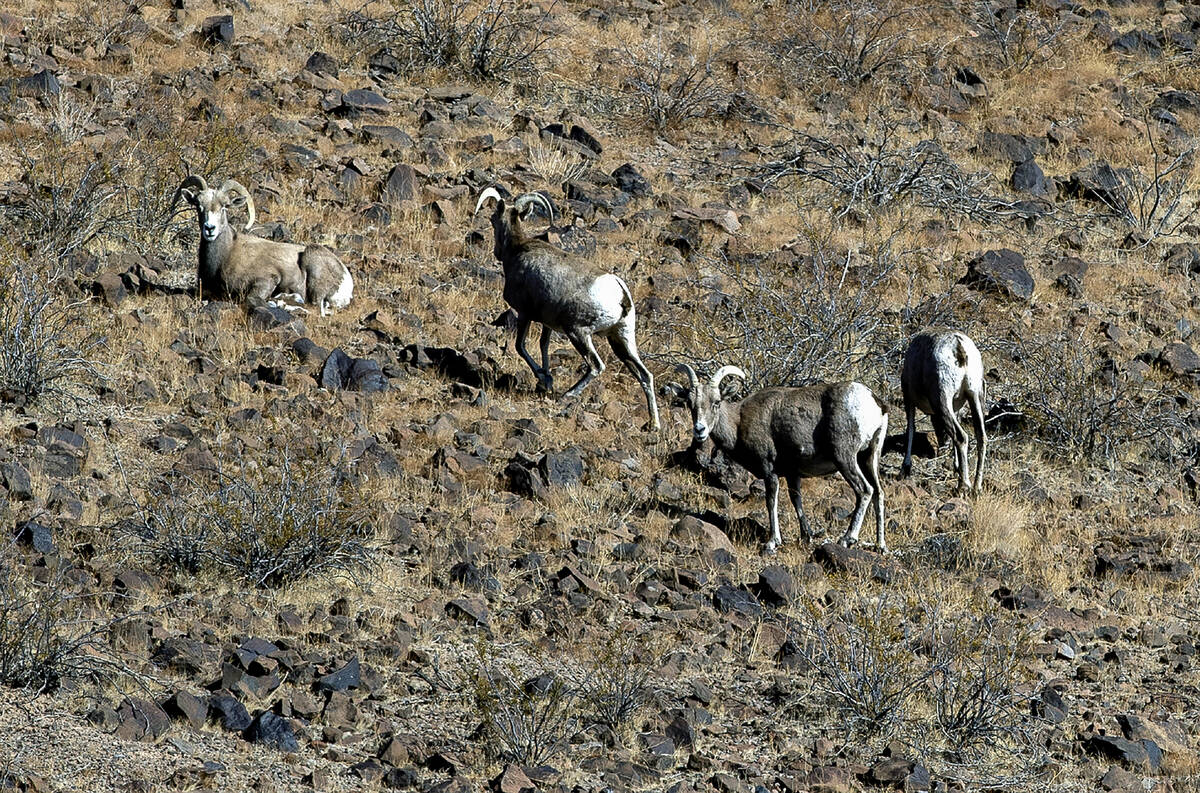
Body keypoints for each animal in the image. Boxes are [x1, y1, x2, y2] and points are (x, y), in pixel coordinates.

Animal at [171, 176, 352, 314]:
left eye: (224, 207)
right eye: (198, 206)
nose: (210, 228)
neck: (226, 256)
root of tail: (347, 281)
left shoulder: (267, 280)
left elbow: (250, 299)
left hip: (312, 263)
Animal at [472, 185, 662, 429]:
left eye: (493, 218)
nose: (496, 252)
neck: (517, 250)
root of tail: (620, 294)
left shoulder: (525, 314)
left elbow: (520, 347)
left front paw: (544, 379)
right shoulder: (547, 323)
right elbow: (543, 346)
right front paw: (546, 380)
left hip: (578, 333)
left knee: (596, 366)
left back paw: (567, 396)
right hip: (621, 338)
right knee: (645, 375)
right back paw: (654, 425)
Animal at [676, 362, 892, 549]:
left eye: (716, 402)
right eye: (691, 404)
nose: (700, 430)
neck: (738, 423)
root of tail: (876, 403)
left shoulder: (769, 470)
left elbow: (771, 501)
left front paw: (773, 542)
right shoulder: (792, 474)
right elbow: (797, 501)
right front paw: (806, 536)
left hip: (845, 458)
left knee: (865, 490)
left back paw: (848, 539)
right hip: (869, 457)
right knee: (878, 492)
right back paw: (880, 546)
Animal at [902, 328, 984, 494]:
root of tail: (959, 346)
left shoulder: (908, 398)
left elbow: (911, 429)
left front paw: (906, 467)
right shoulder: (956, 407)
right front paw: (956, 467)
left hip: (942, 398)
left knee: (960, 436)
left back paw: (963, 486)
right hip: (975, 395)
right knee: (981, 437)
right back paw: (976, 487)